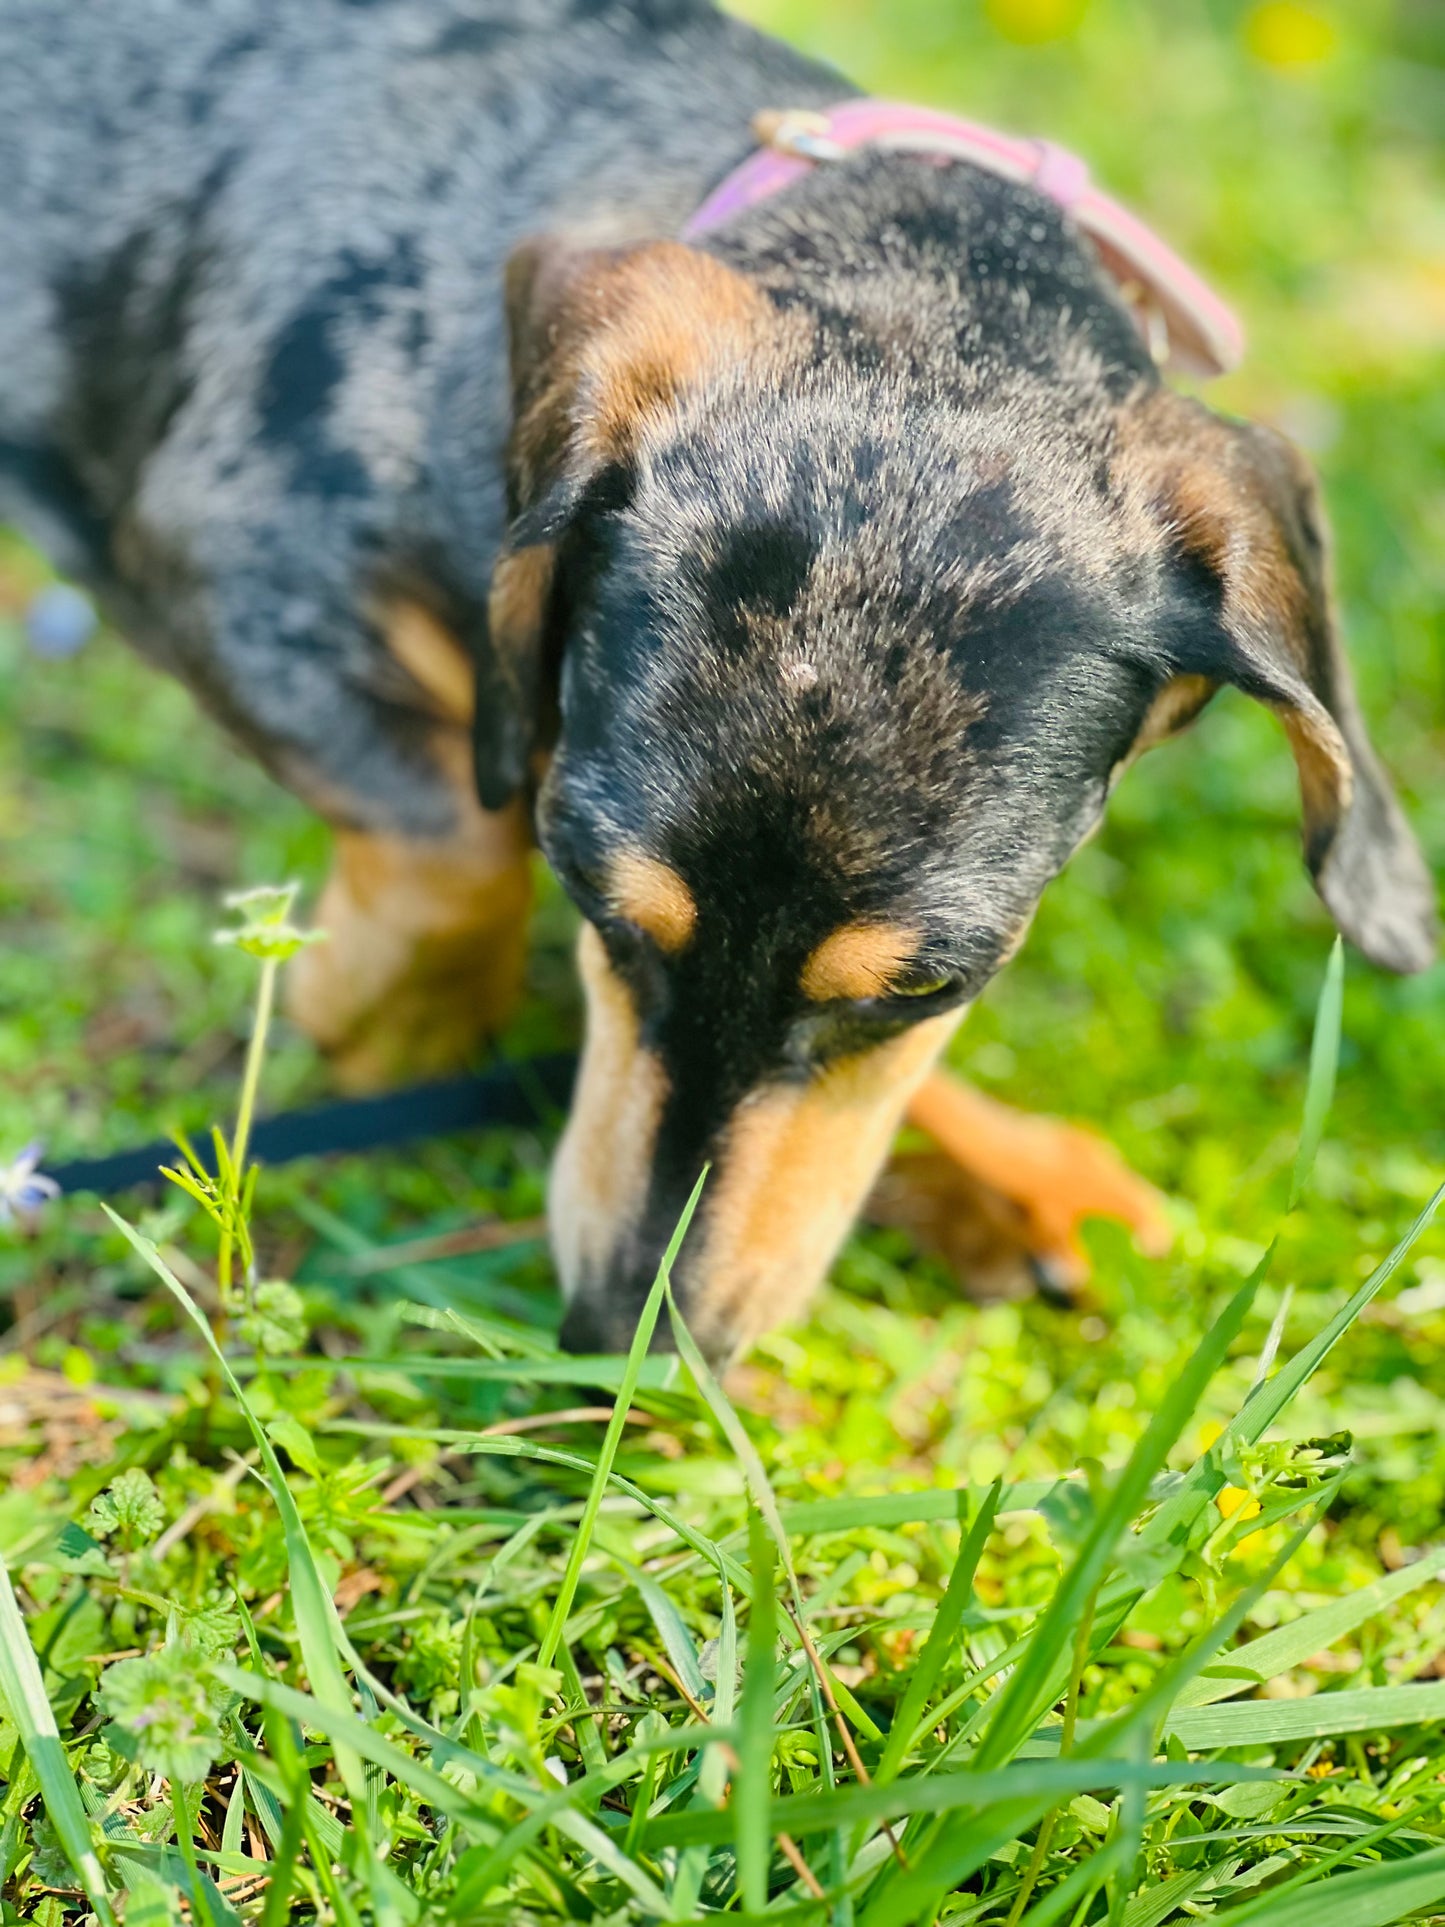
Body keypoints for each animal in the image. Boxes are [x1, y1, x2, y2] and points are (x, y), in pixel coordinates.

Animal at [2, 0, 1441, 1364]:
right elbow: (460, 843)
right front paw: (382, 1020)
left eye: (922, 988)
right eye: (599, 905)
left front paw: (1007, 1168)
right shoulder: (224, 557)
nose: (625, 1345)